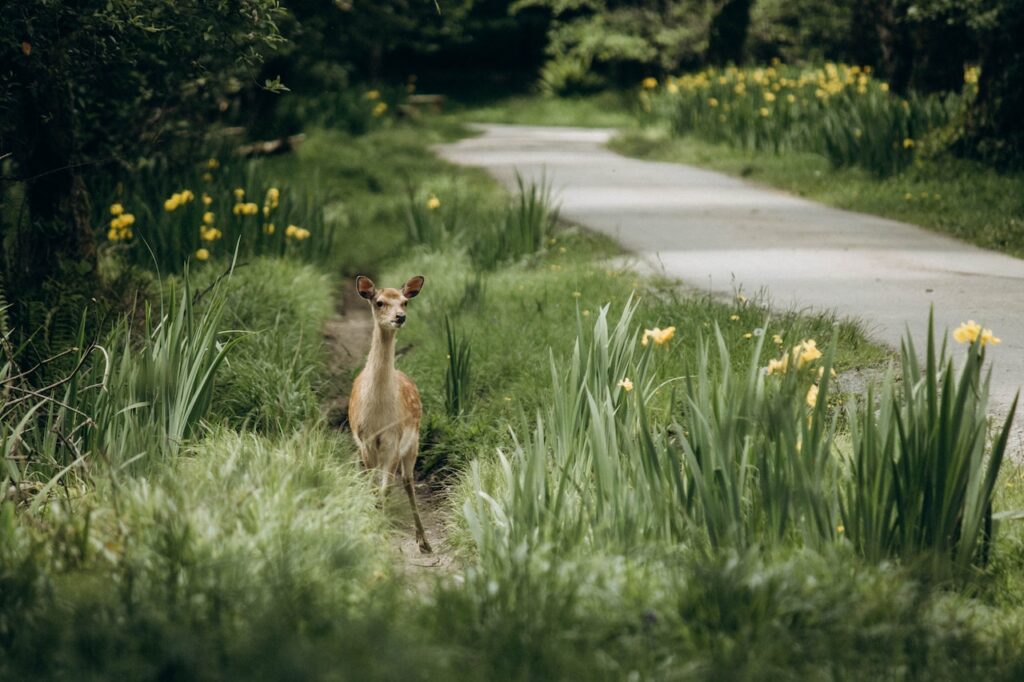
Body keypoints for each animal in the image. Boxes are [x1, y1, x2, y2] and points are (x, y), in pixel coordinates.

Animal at [348, 272, 432, 552]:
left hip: (414, 441)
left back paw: (423, 541)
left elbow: (386, 488)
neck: (378, 416)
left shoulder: (394, 440)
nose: (400, 317)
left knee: (407, 481)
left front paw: (382, 531)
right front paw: (375, 532)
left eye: (405, 302)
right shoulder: (365, 441)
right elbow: (374, 488)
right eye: (380, 302)